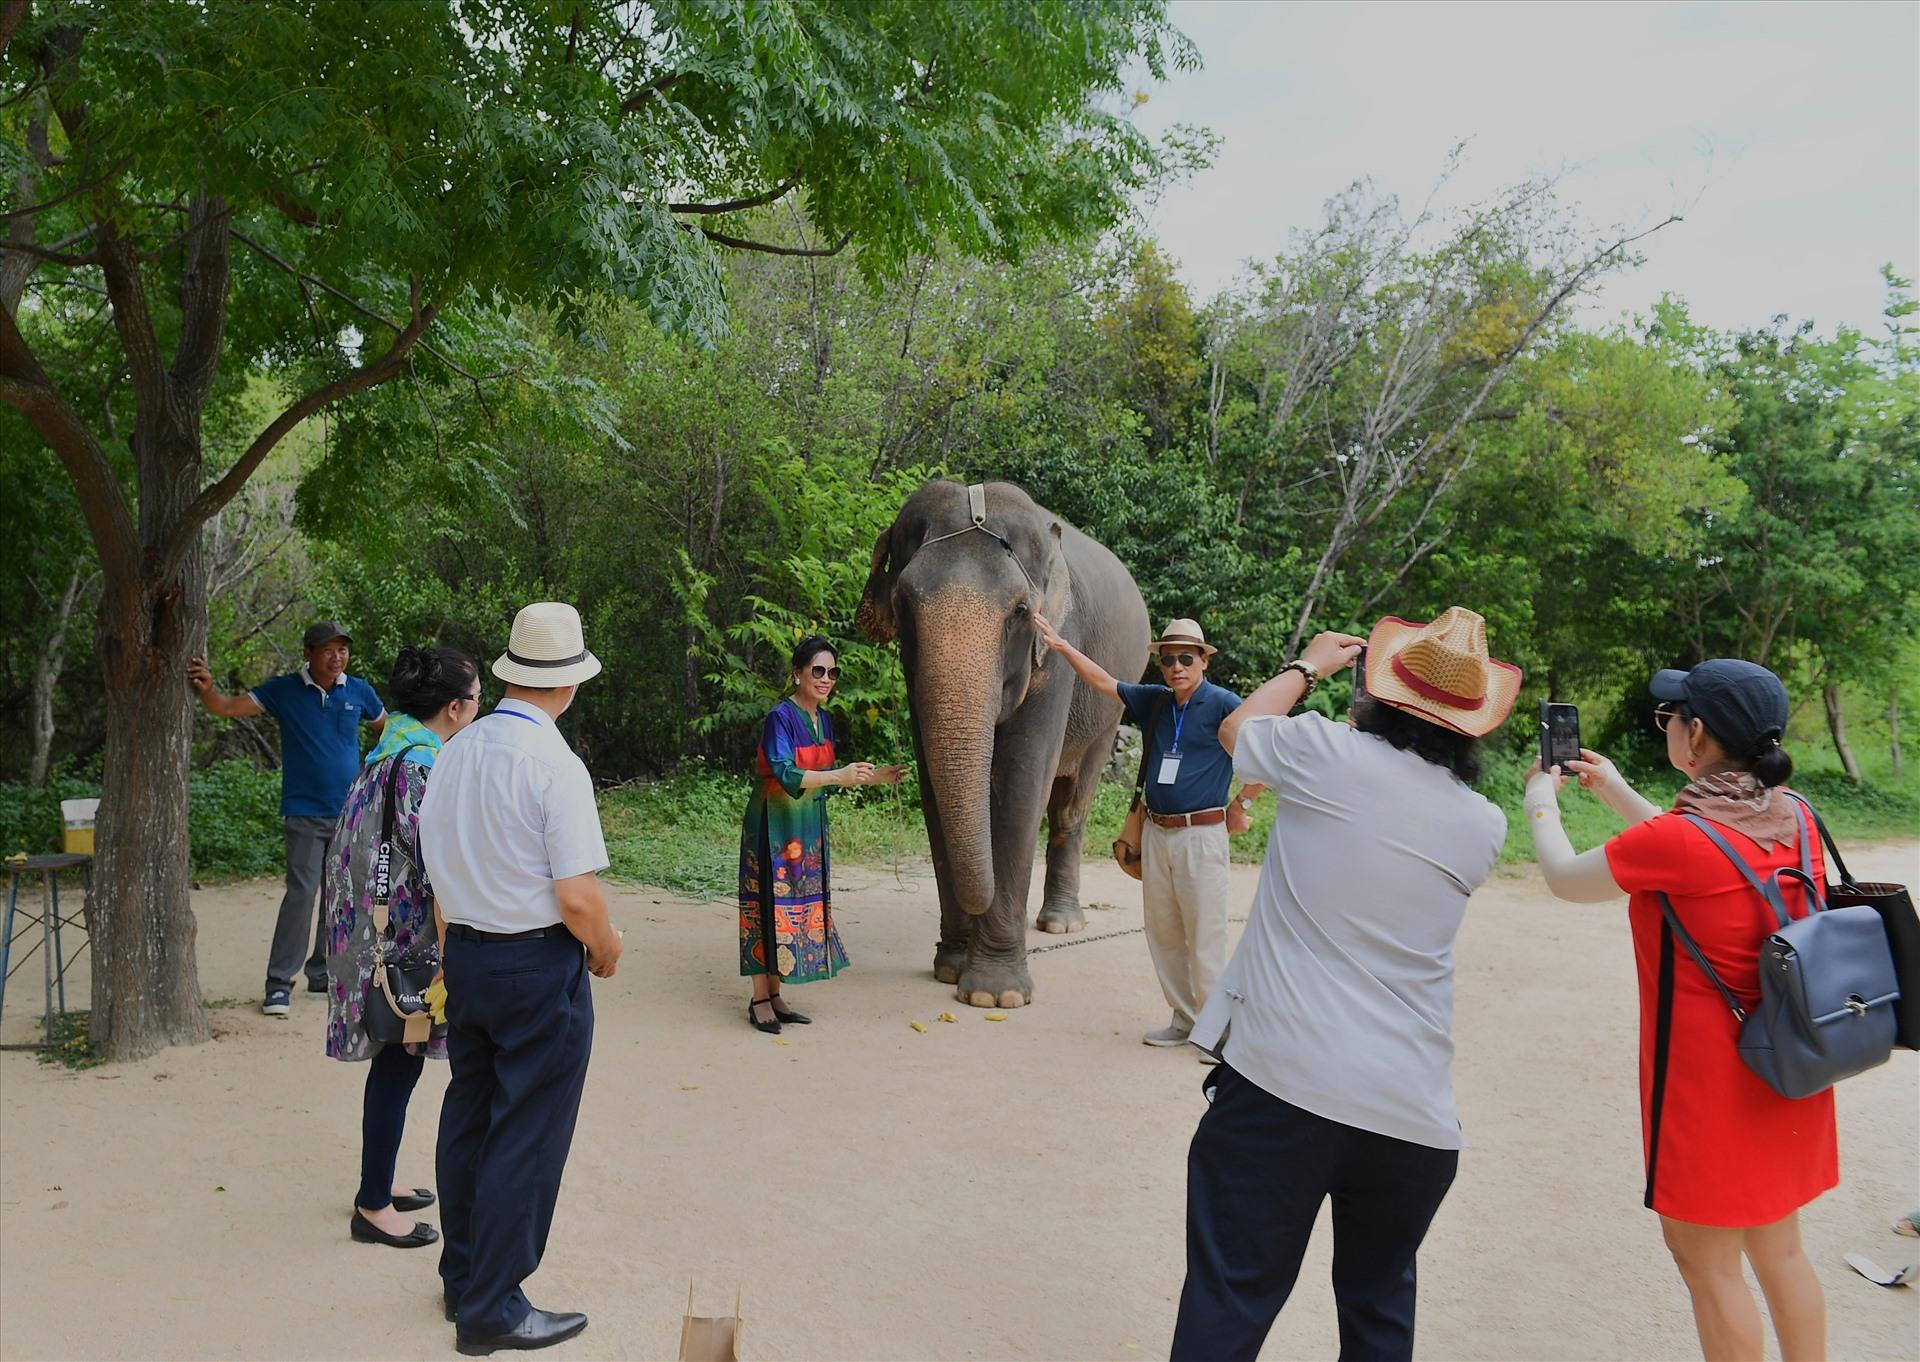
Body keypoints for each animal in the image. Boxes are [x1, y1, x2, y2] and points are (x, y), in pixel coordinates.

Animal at [864, 484, 1144, 1006]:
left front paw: (995, 996)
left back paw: (1060, 925)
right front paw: (951, 970)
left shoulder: (1057, 652)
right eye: (905, 606)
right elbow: (933, 783)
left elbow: (1020, 782)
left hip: (1111, 710)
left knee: (1072, 802)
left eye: (1020, 612)